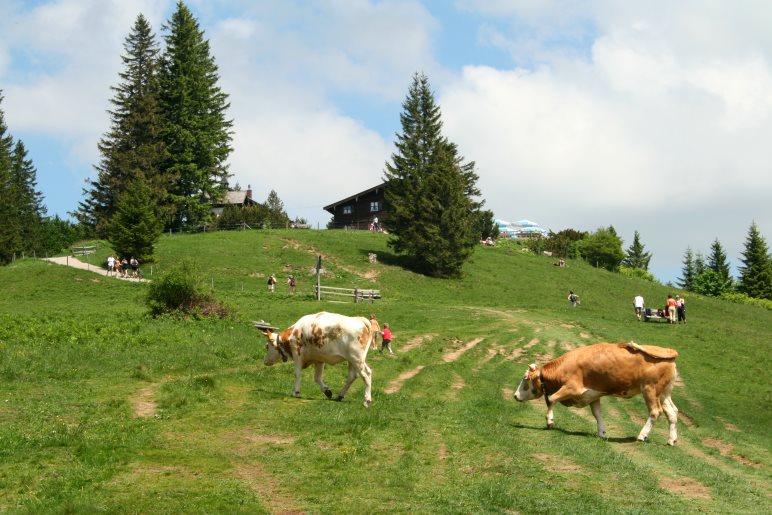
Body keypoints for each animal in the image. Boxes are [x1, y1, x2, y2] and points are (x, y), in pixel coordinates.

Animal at [516, 340, 680, 446]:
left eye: (525, 379)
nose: (515, 396)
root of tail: (666, 350)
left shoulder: (572, 387)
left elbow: (551, 399)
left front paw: (550, 421)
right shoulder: (593, 395)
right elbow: (597, 414)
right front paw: (601, 432)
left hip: (649, 389)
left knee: (655, 411)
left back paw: (642, 435)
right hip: (663, 393)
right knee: (672, 412)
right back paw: (671, 440)